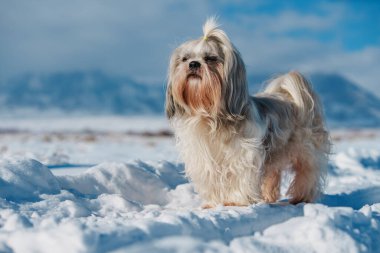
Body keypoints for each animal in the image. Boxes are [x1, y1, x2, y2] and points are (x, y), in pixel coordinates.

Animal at [166, 18, 330, 208]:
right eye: (184, 58)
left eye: (210, 58)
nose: (193, 64)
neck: (210, 114)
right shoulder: (203, 157)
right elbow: (211, 177)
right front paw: (212, 203)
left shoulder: (243, 154)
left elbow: (239, 176)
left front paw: (235, 201)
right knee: (273, 174)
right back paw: (268, 197)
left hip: (305, 151)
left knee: (307, 173)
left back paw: (301, 197)